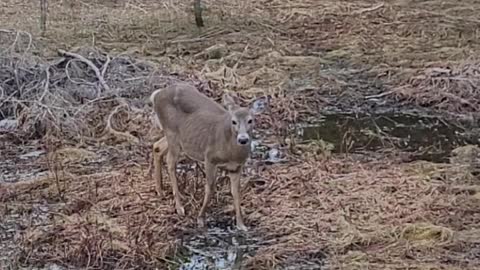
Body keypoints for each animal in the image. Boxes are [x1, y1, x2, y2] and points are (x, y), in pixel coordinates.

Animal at [151, 81, 256, 231]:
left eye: (250, 120)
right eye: (234, 121)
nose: (243, 139)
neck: (231, 152)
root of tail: (157, 95)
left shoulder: (236, 167)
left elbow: (236, 192)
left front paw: (241, 224)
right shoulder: (210, 158)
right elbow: (210, 188)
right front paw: (200, 219)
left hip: (177, 138)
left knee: (157, 147)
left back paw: (160, 190)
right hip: (172, 133)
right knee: (170, 161)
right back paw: (179, 207)